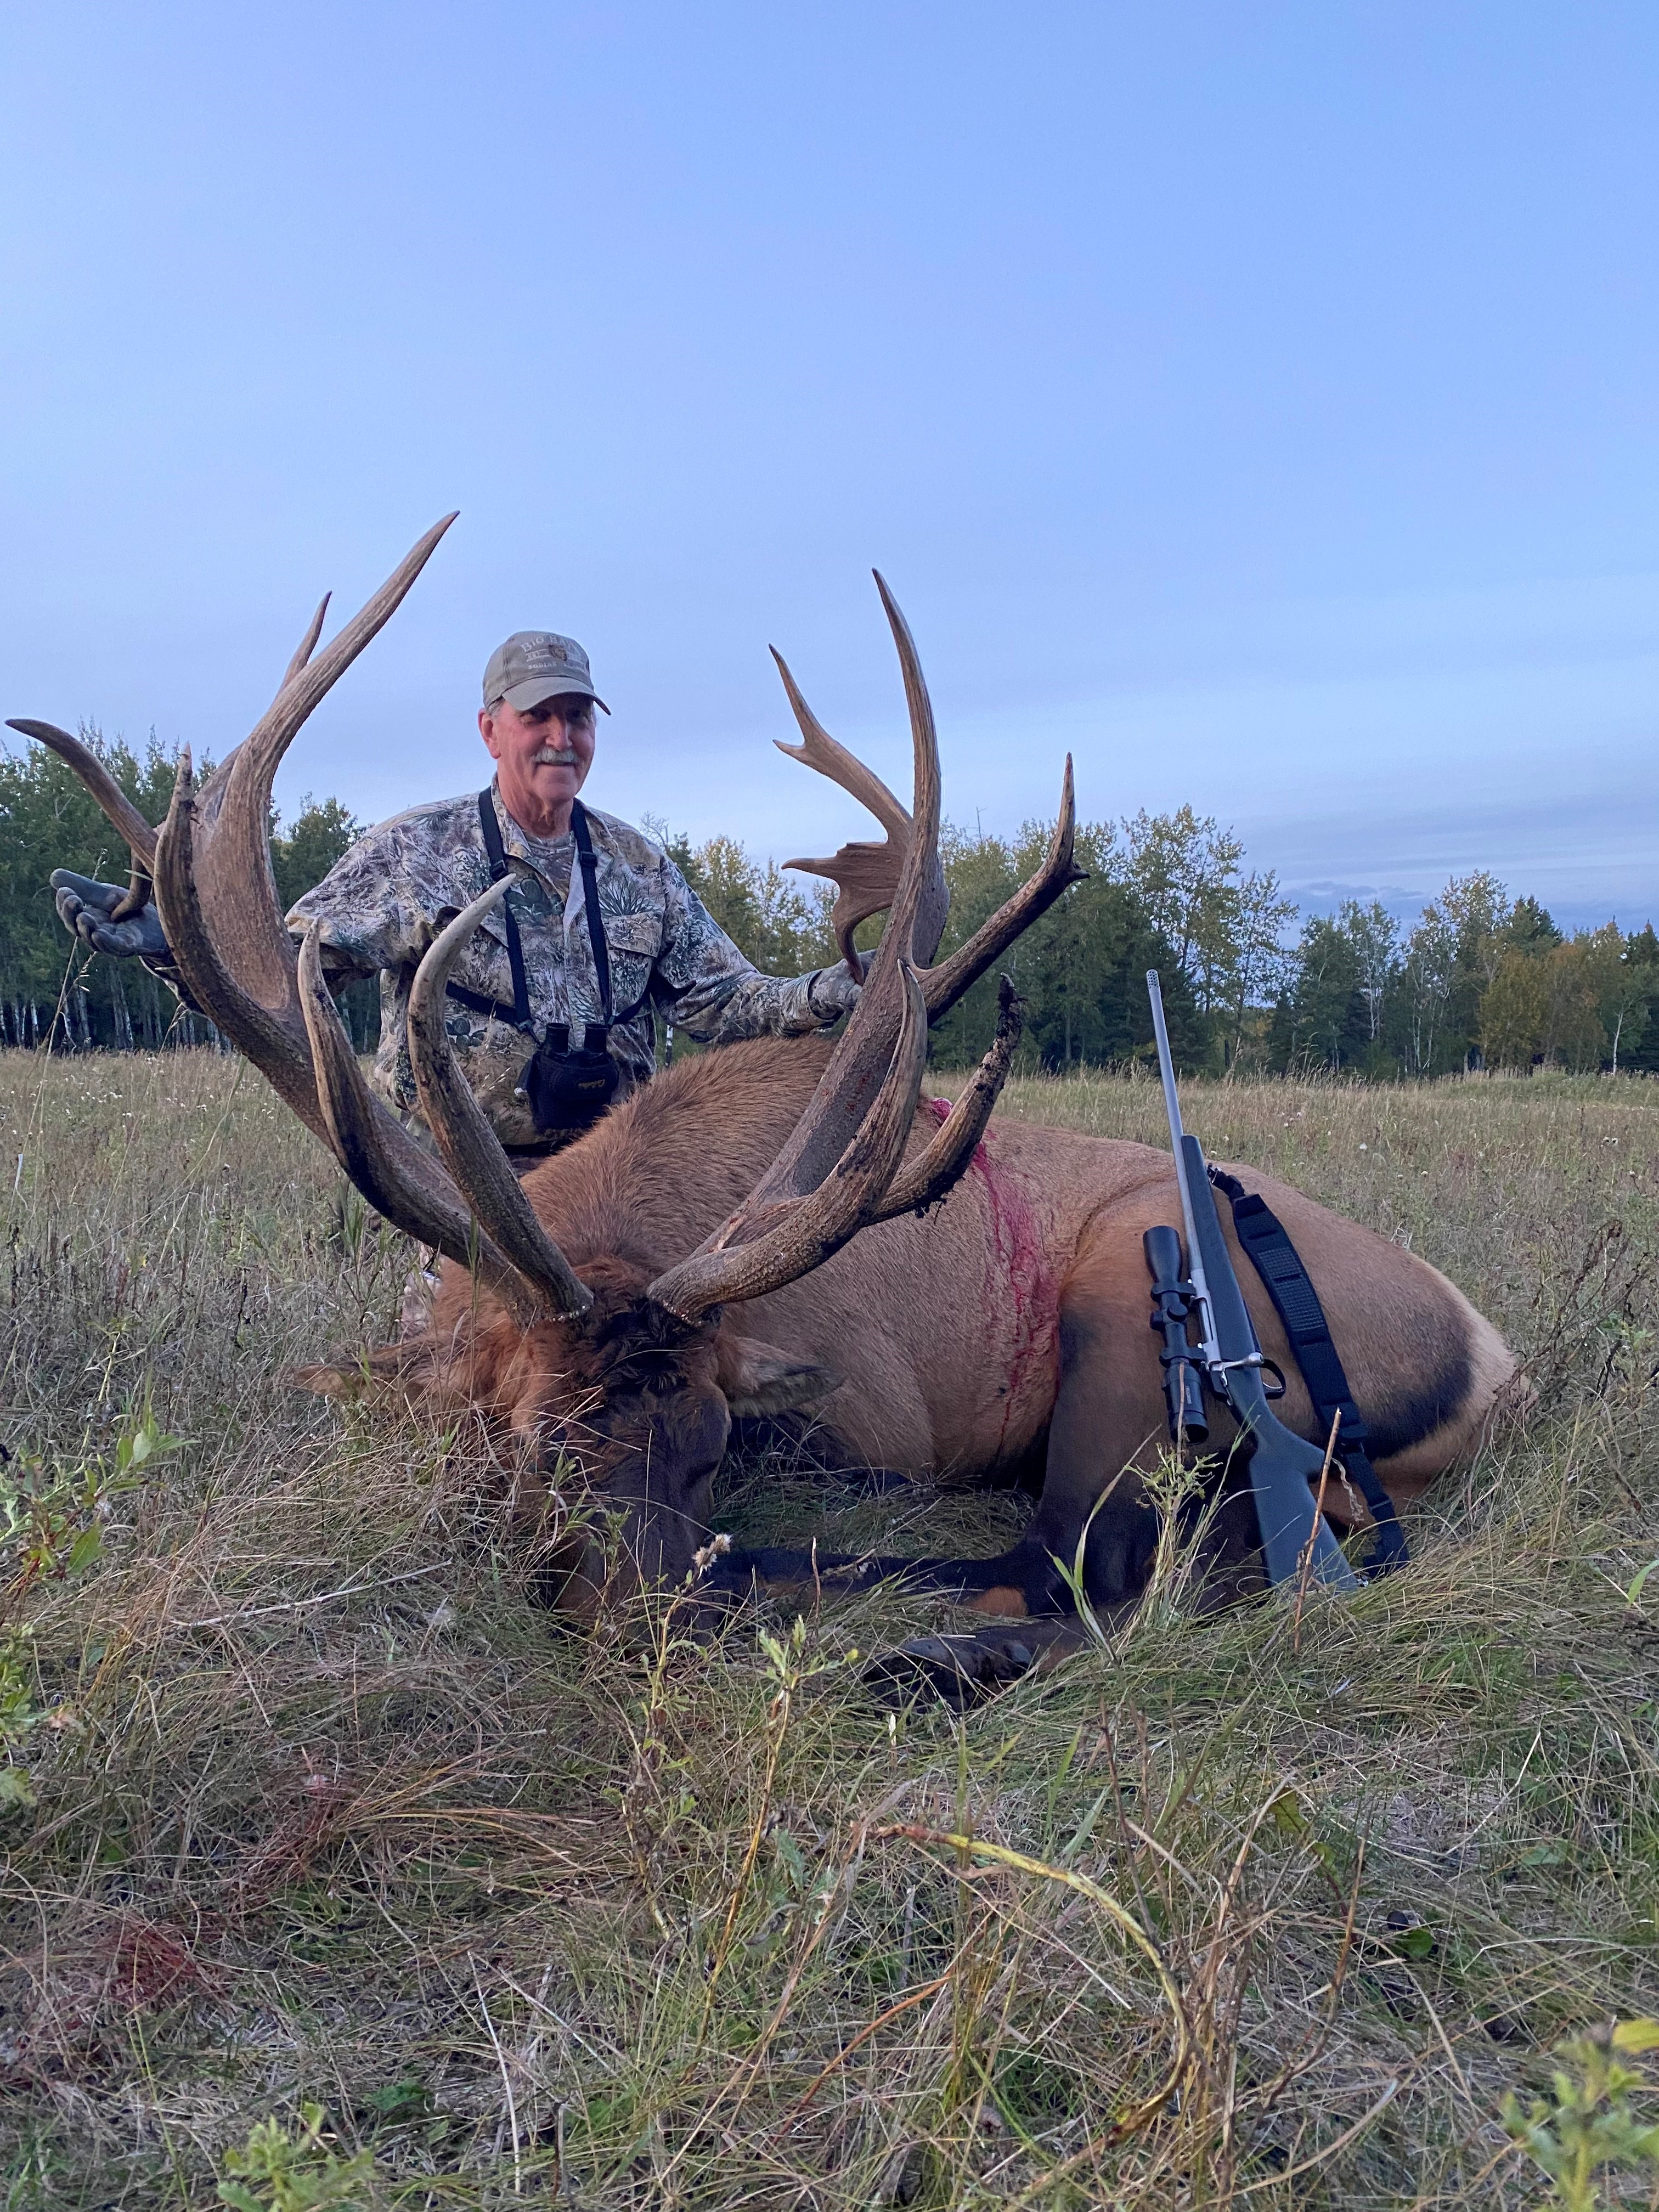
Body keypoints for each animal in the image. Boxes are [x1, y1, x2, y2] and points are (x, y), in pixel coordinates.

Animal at [15, 519, 1517, 1702]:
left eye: (707, 1450)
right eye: (530, 1451)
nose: (652, 1629)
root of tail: (1492, 1359)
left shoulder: (881, 1418)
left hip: (1129, 1313)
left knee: (1097, 1565)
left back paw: (921, 1644)